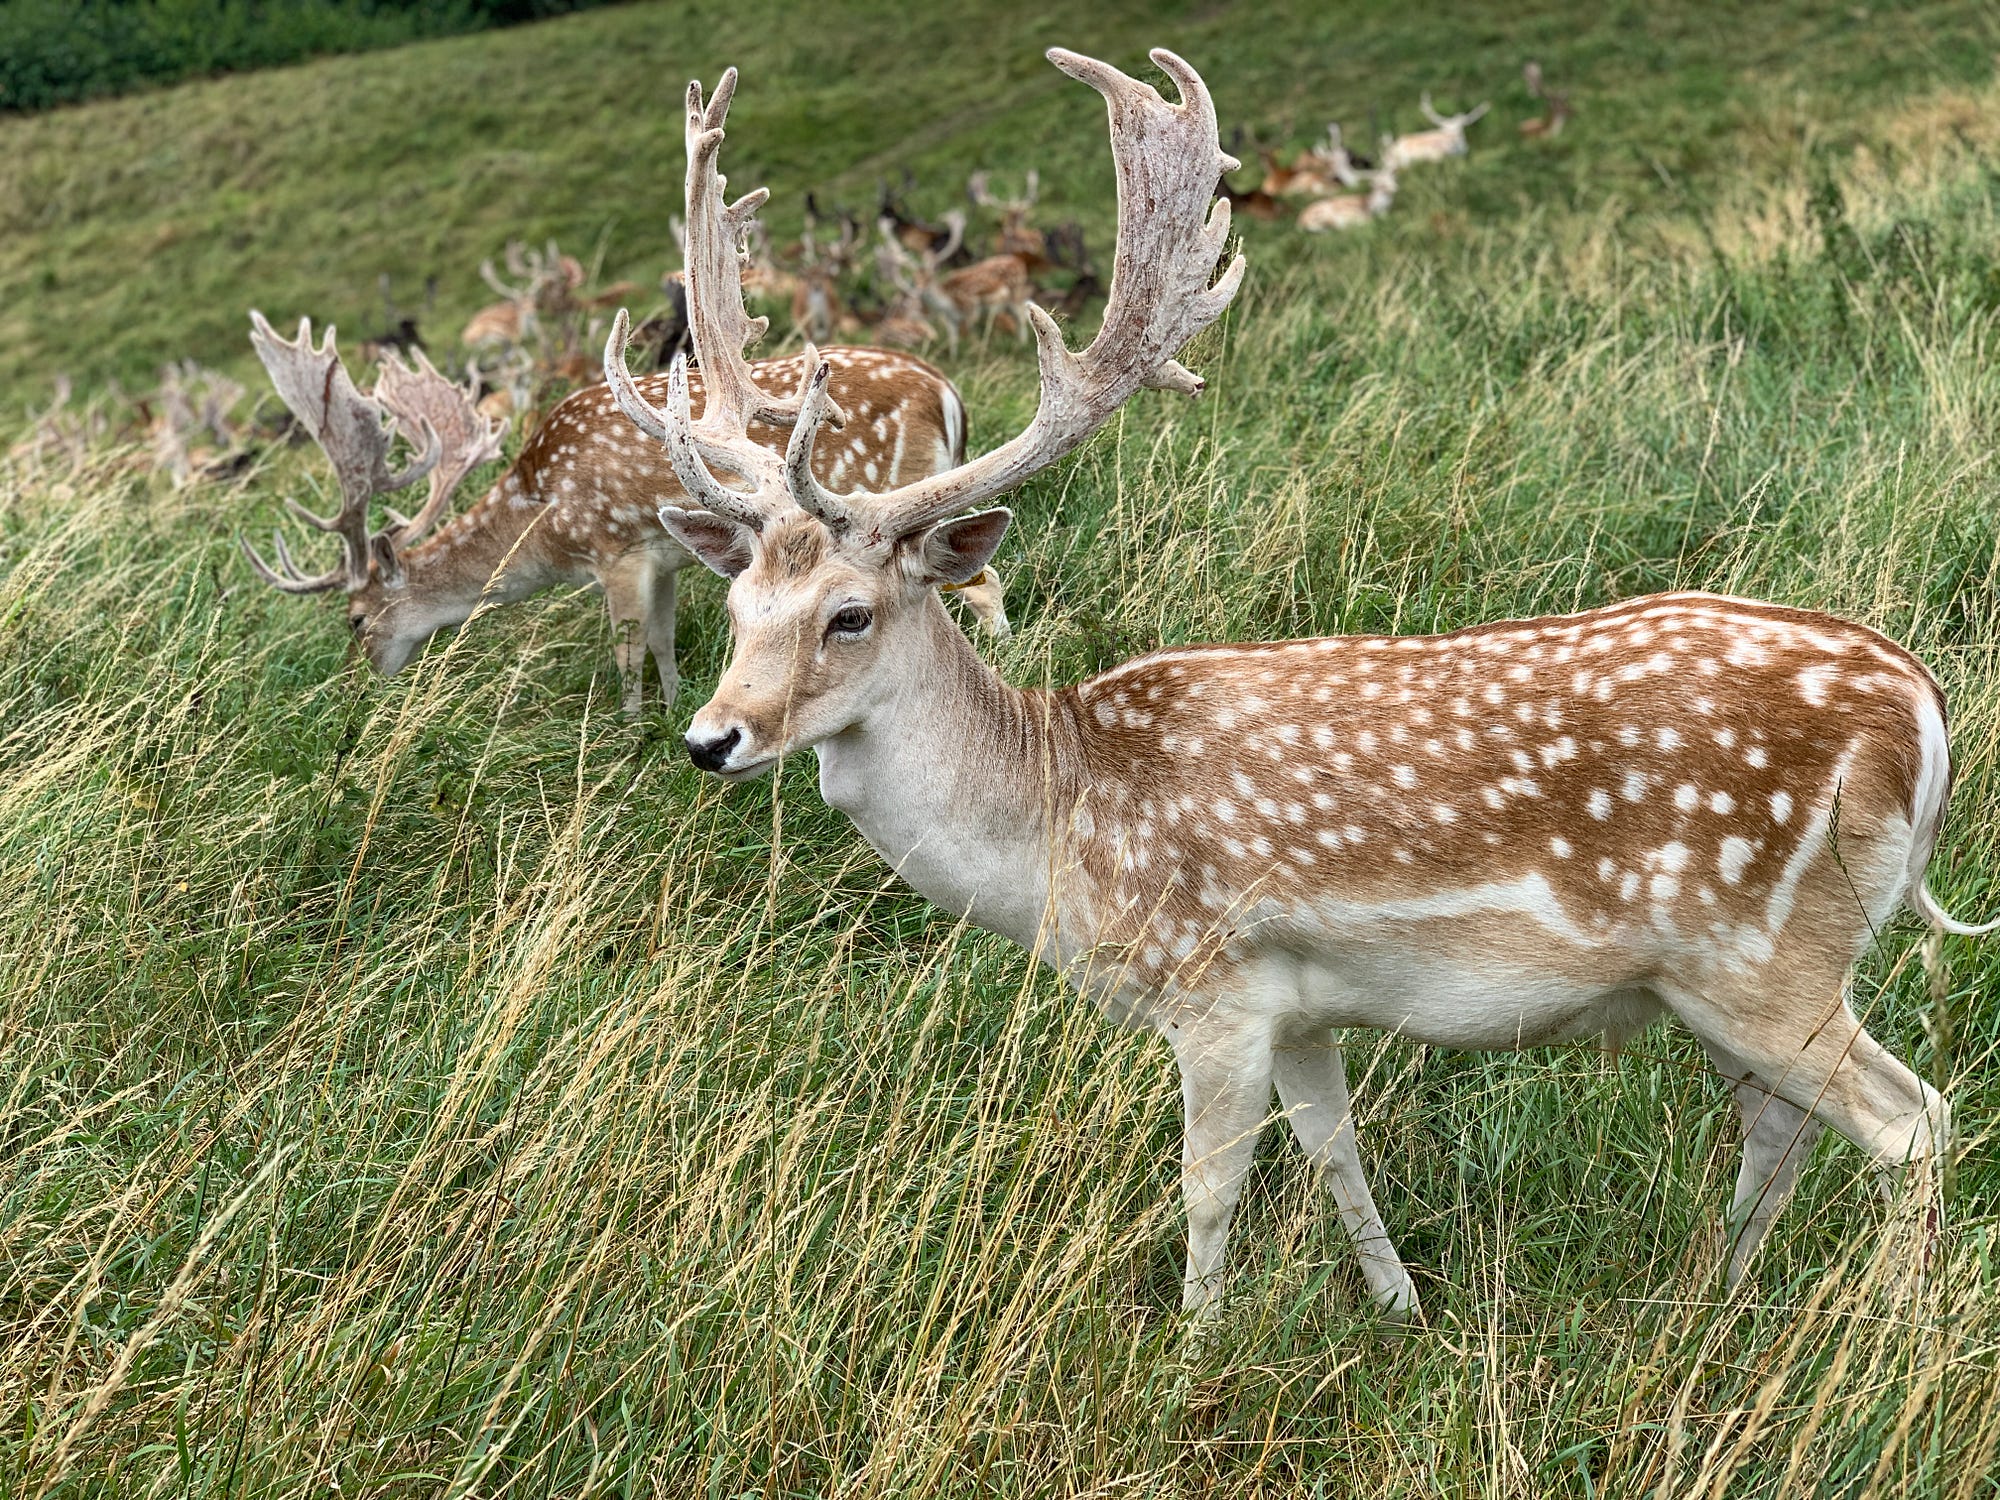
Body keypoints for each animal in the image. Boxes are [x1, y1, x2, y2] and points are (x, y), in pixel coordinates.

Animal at [624, 47, 1984, 1320]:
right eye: (737, 611)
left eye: (848, 615)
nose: (711, 738)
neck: (1060, 826)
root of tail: (1922, 716)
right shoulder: (1302, 1009)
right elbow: (1336, 1156)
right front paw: (1400, 1307)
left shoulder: (1211, 984)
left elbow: (1209, 1185)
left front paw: (1194, 1345)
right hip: (1720, 981)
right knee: (1781, 1124)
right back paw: (1718, 1294)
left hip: (1761, 953)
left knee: (1911, 1118)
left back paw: (1886, 1335)